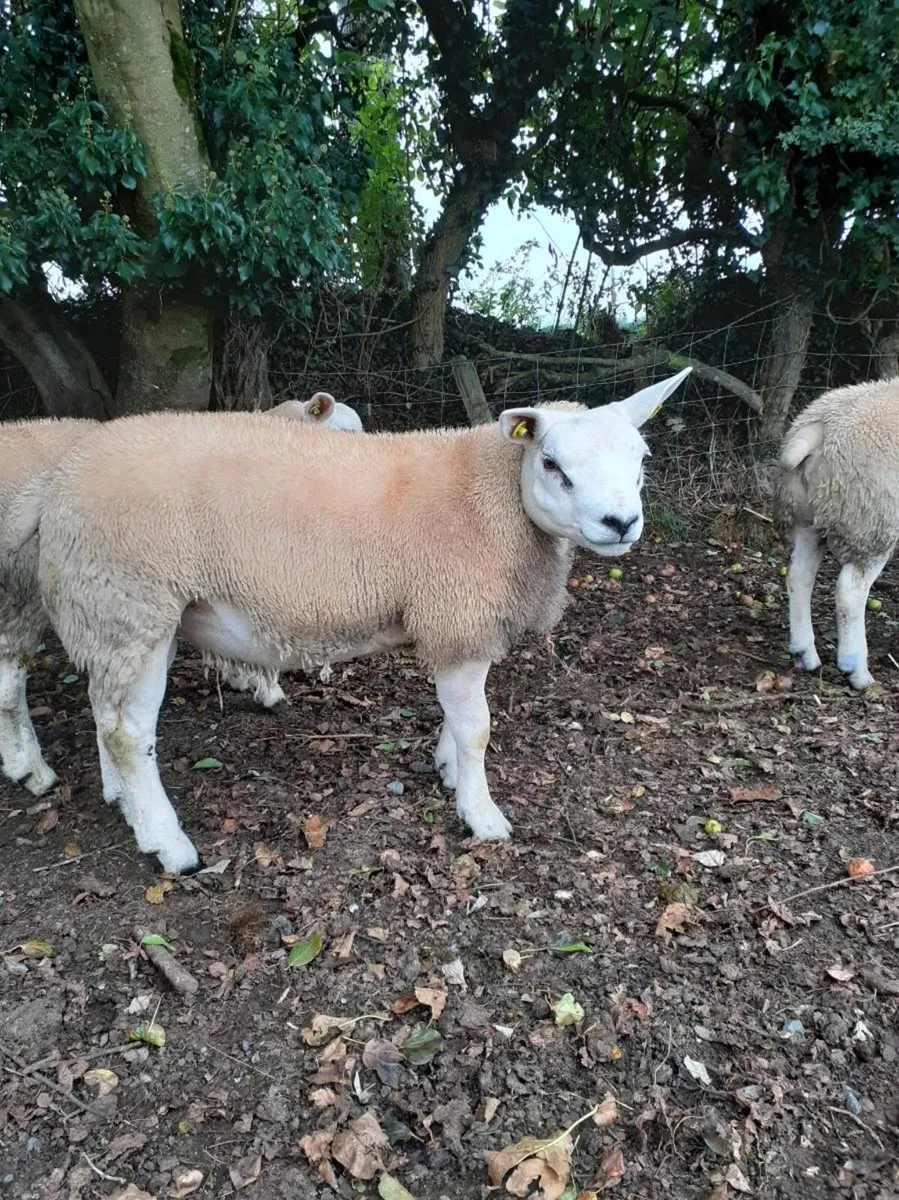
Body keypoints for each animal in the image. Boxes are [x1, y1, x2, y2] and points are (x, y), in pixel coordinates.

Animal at [774, 378, 899, 689]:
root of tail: (820, 428)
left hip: (809, 516)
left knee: (799, 575)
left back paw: (804, 652)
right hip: (871, 522)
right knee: (849, 592)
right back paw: (857, 670)